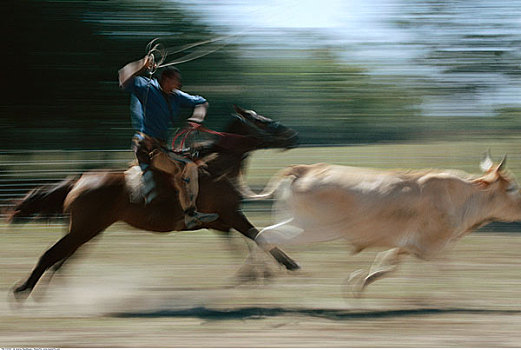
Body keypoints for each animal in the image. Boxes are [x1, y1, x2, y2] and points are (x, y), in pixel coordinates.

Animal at [9, 105, 296, 300]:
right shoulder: (231, 214)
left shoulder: (221, 221)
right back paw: (23, 289)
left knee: (62, 260)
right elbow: (257, 235)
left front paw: (254, 275)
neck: (215, 169)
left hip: (86, 230)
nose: (290, 134)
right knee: (52, 255)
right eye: (260, 120)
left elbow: (246, 242)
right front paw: (287, 265)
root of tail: (79, 180)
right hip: (83, 229)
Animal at [243, 154, 520, 294]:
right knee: (264, 236)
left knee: (262, 236)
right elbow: (444, 272)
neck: (462, 195)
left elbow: (389, 263)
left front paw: (362, 282)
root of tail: (304, 168)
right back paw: (256, 275)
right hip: (311, 229)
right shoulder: (431, 246)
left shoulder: (412, 245)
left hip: (296, 223)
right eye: (512, 188)